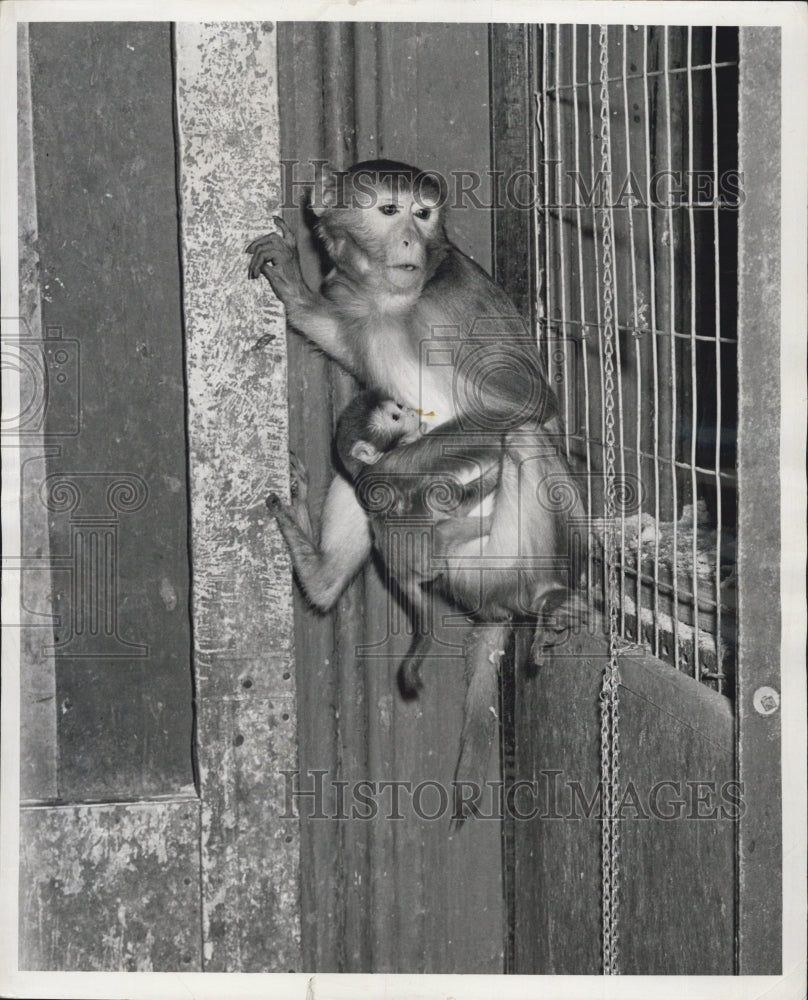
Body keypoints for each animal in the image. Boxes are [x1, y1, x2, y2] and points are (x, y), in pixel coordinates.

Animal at [245, 158, 576, 820]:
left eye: (424, 216)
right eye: (389, 211)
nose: (410, 243)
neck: (393, 302)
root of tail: (495, 600)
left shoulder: (456, 299)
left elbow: (526, 402)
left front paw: (387, 480)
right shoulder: (352, 302)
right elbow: (340, 338)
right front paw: (293, 283)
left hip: (507, 553)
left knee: (523, 436)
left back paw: (547, 593)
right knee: (353, 482)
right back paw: (319, 570)